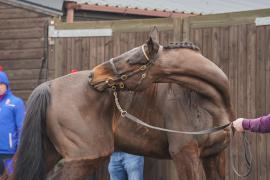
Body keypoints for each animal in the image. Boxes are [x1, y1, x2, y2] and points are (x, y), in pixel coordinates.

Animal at [4, 30, 232, 179]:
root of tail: (49, 85)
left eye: (131, 60)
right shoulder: (185, 155)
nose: (94, 74)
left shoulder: (214, 156)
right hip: (84, 158)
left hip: (50, 152)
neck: (203, 101)